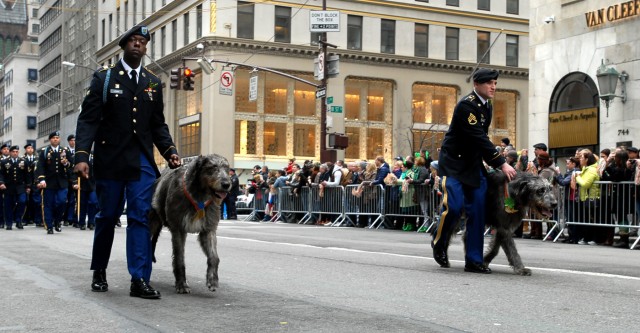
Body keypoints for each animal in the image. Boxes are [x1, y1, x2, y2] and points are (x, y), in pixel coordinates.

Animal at [149, 154, 231, 292]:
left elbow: (214, 257)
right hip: (152, 223)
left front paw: (212, 280)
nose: (227, 184)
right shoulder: (178, 228)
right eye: (212, 168)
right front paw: (182, 284)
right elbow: (179, 257)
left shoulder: (208, 228)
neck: (199, 195)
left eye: (227, 169)